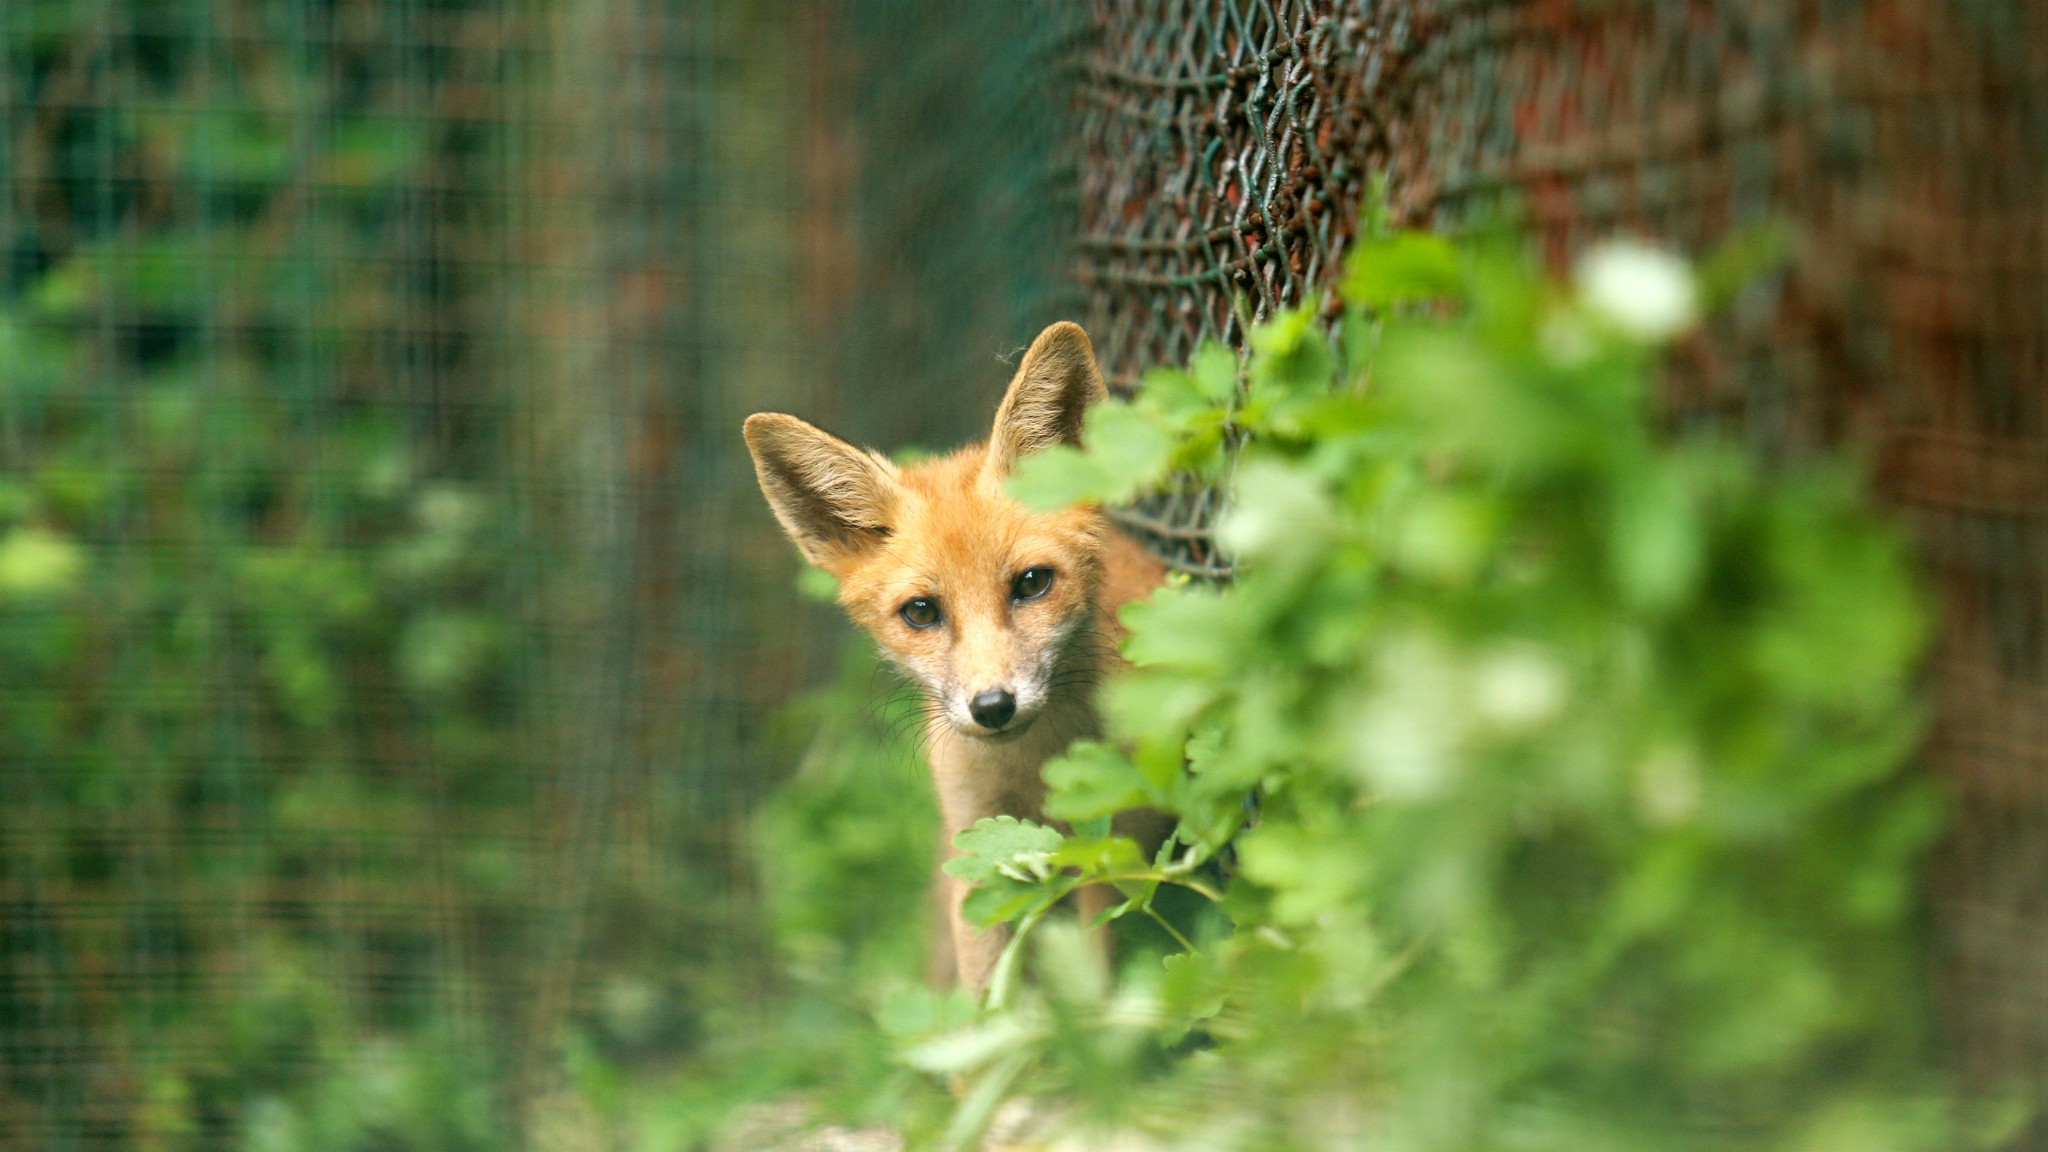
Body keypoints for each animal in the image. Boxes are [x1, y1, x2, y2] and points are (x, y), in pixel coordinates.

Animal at [749, 319, 1171, 988]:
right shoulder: (980, 853)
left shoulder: (1111, 853)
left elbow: (1093, 976)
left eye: (1032, 583)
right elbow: (989, 996)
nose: (993, 706)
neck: (1035, 774)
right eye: (921, 612)